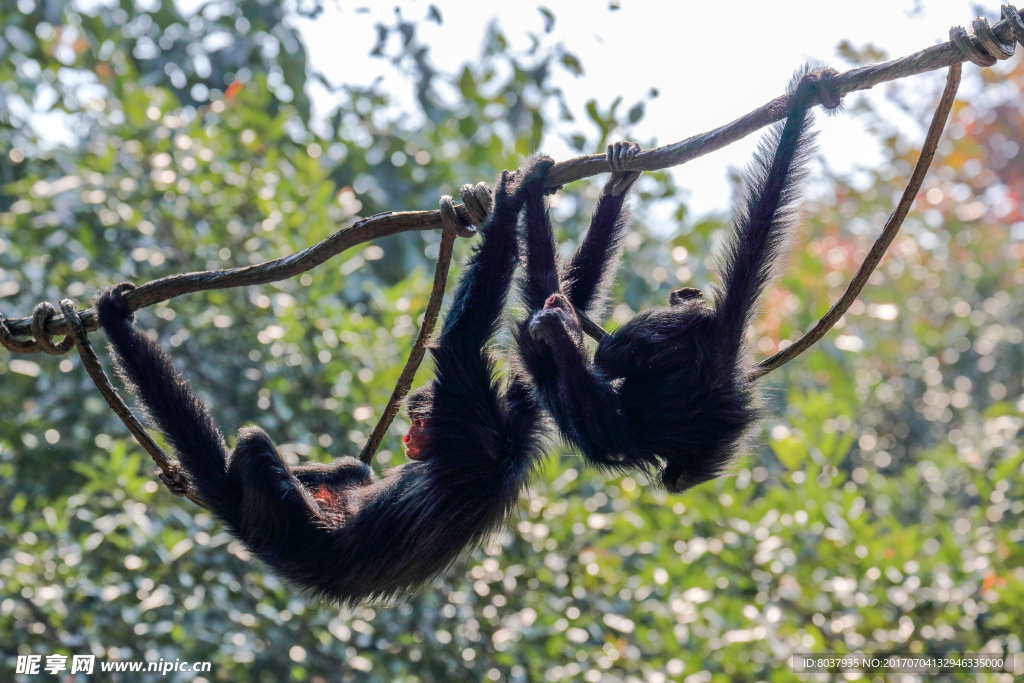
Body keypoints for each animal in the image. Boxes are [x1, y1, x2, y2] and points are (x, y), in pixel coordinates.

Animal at [94, 158, 561, 602]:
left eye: (418, 422)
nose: (408, 438)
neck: (499, 440)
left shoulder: (468, 412)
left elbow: (459, 342)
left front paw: (508, 200)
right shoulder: (512, 421)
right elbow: (539, 347)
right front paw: (527, 193)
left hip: (288, 520)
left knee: (254, 447)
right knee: (352, 468)